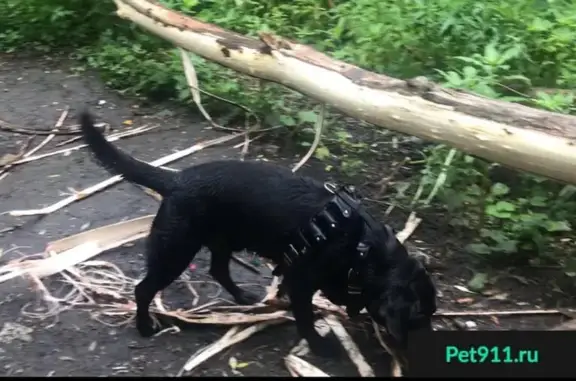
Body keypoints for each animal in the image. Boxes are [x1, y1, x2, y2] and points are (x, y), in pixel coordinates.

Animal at [77, 110, 436, 356]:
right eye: (419, 316)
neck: (362, 247)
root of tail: (175, 179)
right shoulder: (301, 283)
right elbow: (306, 319)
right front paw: (320, 346)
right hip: (174, 251)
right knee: (143, 290)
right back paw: (144, 327)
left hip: (220, 242)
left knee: (218, 270)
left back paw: (243, 298)